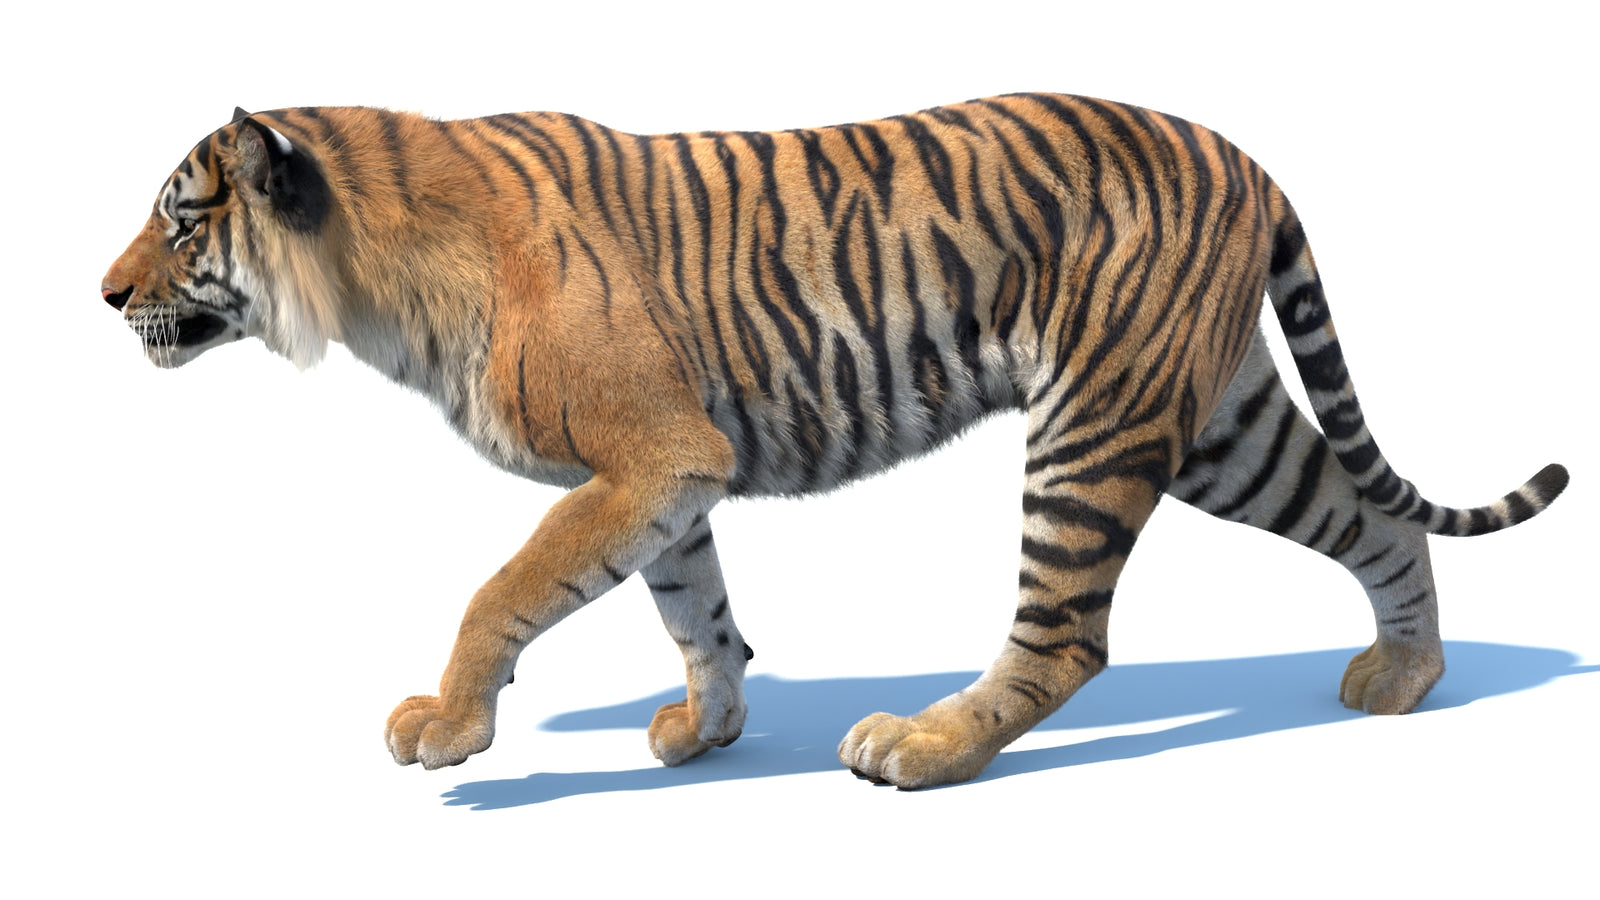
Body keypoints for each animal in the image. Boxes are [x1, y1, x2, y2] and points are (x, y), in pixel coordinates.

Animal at [102, 95, 1568, 789]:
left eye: (180, 220)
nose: (104, 295)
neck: (373, 280)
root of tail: (1244, 156)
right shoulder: (667, 473)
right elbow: (694, 605)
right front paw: (706, 727)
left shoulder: (646, 455)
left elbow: (503, 590)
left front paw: (450, 728)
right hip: (1216, 420)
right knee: (1369, 518)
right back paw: (1405, 676)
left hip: (1093, 426)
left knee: (1065, 637)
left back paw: (923, 747)